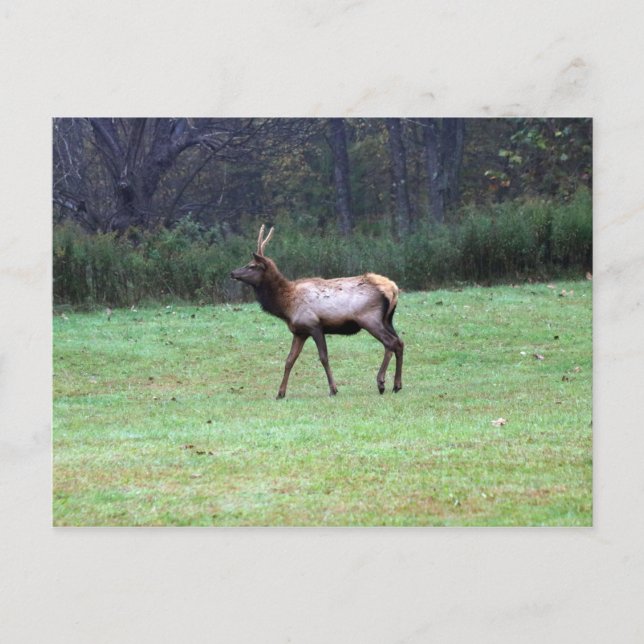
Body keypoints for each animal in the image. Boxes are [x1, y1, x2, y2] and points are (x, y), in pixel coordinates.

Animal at [230, 225, 404, 399]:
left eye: (252, 266)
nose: (232, 273)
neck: (286, 307)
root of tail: (393, 289)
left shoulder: (314, 325)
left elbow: (323, 357)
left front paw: (333, 389)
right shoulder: (299, 332)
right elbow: (289, 360)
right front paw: (280, 393)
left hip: (369, 318)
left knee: (390, 342)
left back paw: (381, 383)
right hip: (387, 319)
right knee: (399, 342)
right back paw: (397, 385)